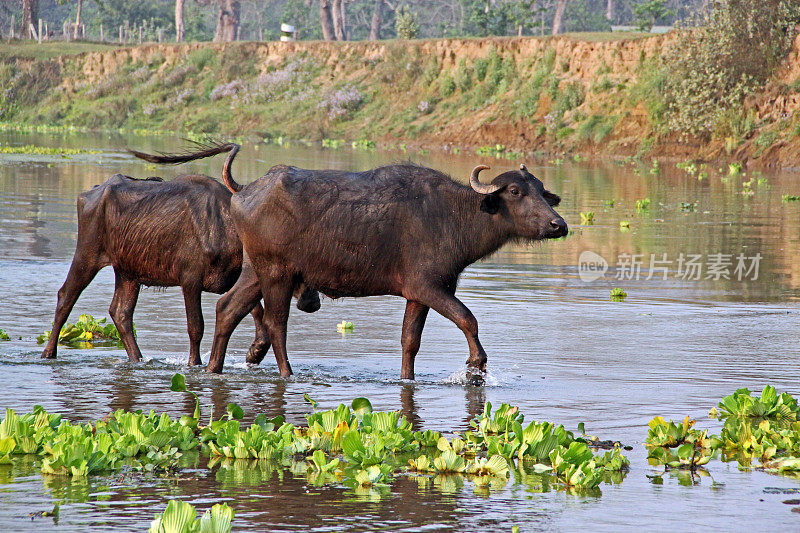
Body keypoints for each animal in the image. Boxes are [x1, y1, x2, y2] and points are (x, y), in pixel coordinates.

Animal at [40, 143, 320, 364]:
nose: (313, 301)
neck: (230, 230)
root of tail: (90, 192)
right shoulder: (190, 279)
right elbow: (196, 326)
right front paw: (194, 363)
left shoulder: (230, 279)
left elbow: (253, 312)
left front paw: (255, 352)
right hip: (87, 255)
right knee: (66, 296)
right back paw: (48, 352)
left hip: (127, 272)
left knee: (120, 313)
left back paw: (138, 358)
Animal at [206, 159, 568, 382]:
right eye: (515, 191)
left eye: (541, 190)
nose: (558, 225)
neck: (453, 216)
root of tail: (243, 193)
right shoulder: (428, 287)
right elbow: (468, 318)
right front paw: (476, 365)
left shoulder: (419, 294)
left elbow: (410, 341)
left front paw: (408, 377)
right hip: (277, 273)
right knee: (276, 324)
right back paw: (287, 374)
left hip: (255, 272)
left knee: (227, 308)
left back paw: (212, 367)